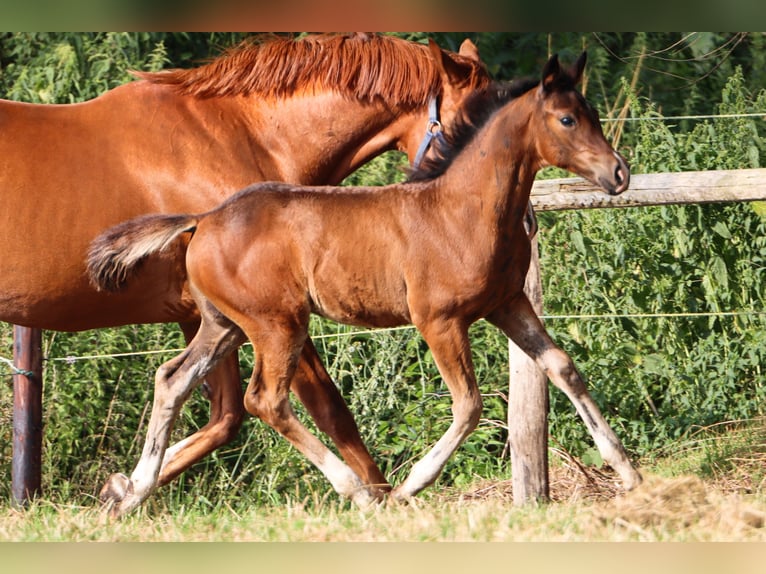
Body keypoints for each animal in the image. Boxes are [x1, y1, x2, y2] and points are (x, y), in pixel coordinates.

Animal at [0, 32, 492, 500]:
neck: (242, 136)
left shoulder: (208, 317)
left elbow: (222, 416)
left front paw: (121, 489)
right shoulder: (272, 314)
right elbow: (330, 409)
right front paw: (382, 495)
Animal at [87, 50, 644, 516]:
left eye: (594, 115)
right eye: (567, 119)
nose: (619, 173)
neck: (461, 210)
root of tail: (203, 219)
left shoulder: (507, 303)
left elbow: (563, 368)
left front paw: (629, 473)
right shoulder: (439, 320)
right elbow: (469, 405)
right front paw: (410, 487)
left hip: (225, 324)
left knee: (172, 380)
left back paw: (130, 493)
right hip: (277, 324)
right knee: (264, 400)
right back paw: (359, 492)